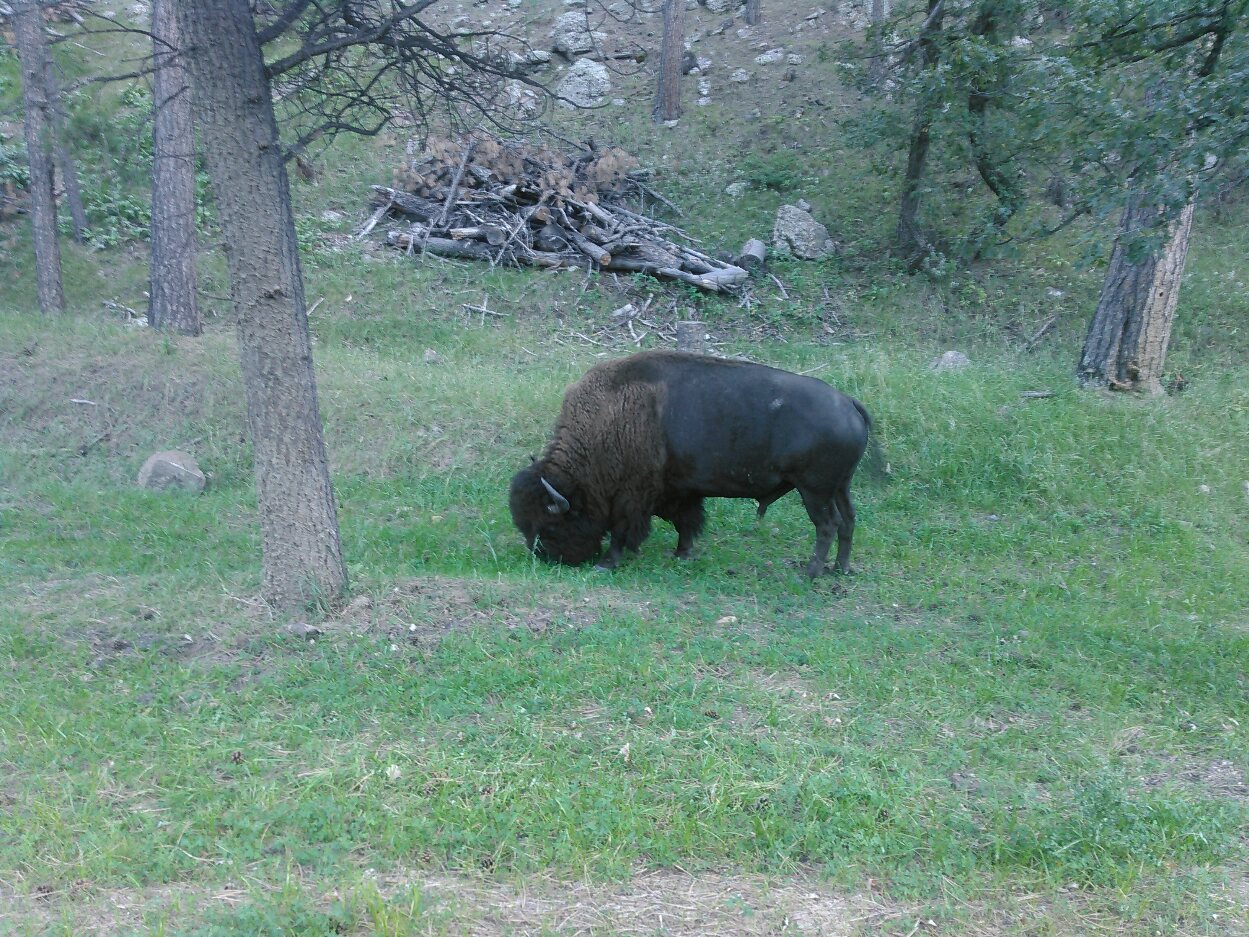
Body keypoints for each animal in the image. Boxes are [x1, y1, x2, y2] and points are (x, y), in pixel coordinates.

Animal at [509, 350, 873, 576]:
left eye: (550, 525)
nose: (545, 558)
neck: (607, 419)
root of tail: (848, 403)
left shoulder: (631, 496)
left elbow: (623, 529)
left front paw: (608, 562)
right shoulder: (681, 490)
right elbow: (687, 522)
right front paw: (682, 554)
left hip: (814, 490)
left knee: (827, 525)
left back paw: (811, 573)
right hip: (841, 486)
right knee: (849, 520)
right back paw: (840, 569)